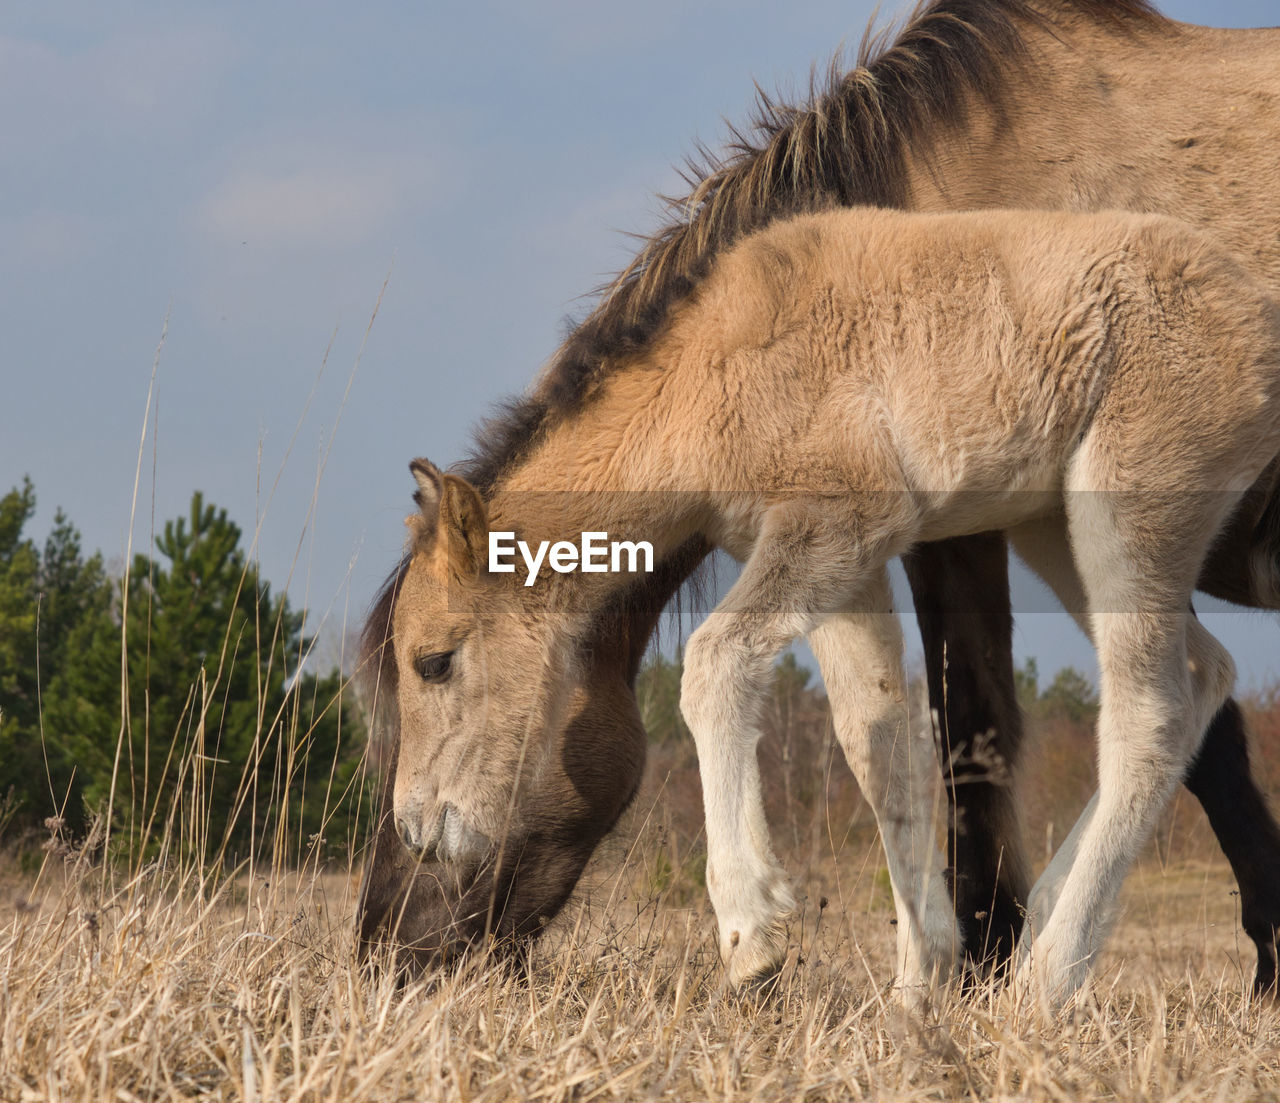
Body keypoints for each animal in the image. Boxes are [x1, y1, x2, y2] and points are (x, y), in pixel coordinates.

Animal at [353, 0, 1280, 987]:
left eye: (434, 663)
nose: (390, 947)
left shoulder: (854, 525)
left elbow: (737, 669)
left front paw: (755, 934)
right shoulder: (853, 559)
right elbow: (879, 736)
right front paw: (921, 977)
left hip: (1124, 513)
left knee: (1153, 713)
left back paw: (1045, 978)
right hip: (1058, 526)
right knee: (1201, 675)